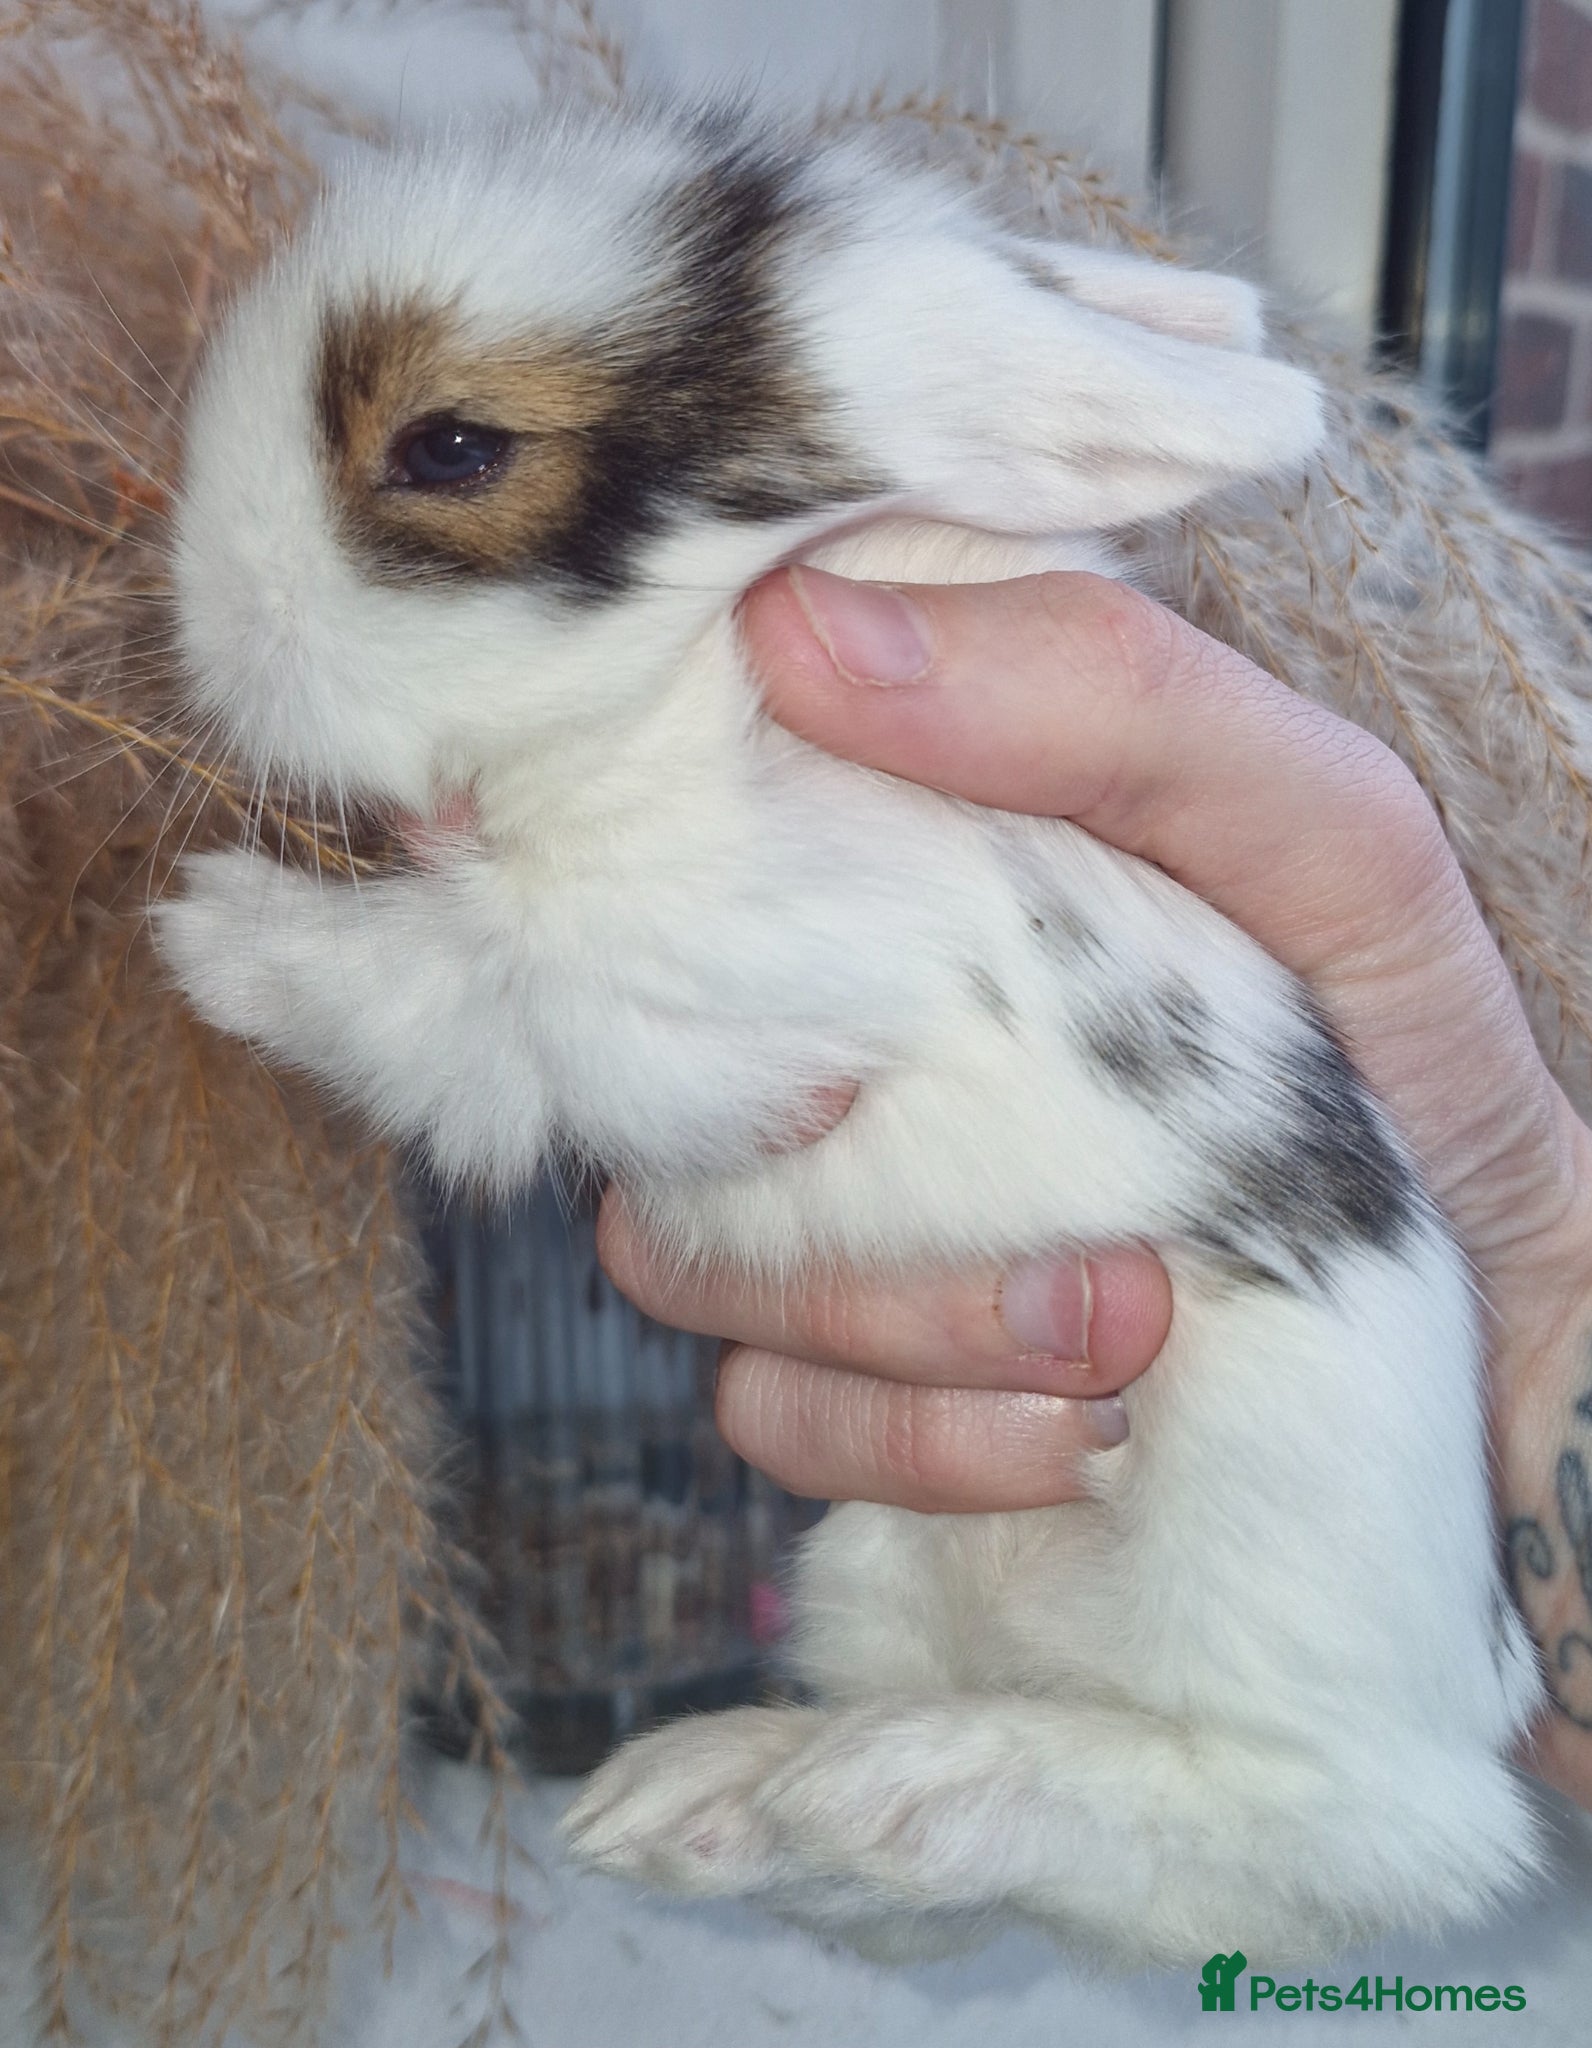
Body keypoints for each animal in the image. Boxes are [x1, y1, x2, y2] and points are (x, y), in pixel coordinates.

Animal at [154, 100, 1545, 1969]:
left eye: (449, 445)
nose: (200, 616)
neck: (686, 685)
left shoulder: (682, 968)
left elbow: (460, 975)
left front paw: (209, 931)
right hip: (877, 1550)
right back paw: (729, 1796)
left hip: (1258, 1533)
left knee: (1330, 1829)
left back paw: (918, 1788)